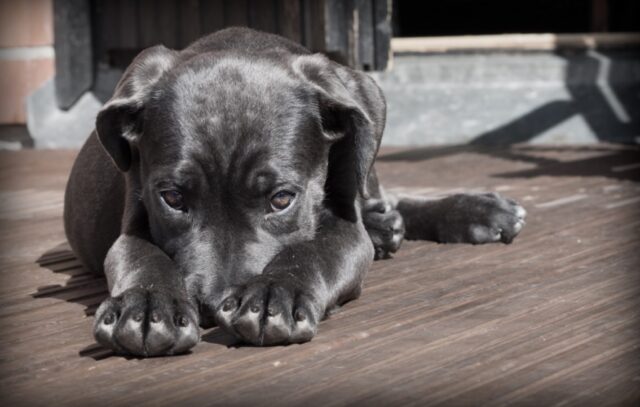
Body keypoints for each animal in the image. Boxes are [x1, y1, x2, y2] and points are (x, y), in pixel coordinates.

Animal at [63, 27, 524, 356]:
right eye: (172, 199)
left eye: (281, 199)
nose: (212, 306)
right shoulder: (133, 221)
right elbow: (141, 255)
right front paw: (146, 305)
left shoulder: (344, 228)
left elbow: (314, 250)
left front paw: (274, 293)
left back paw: (474, 211)